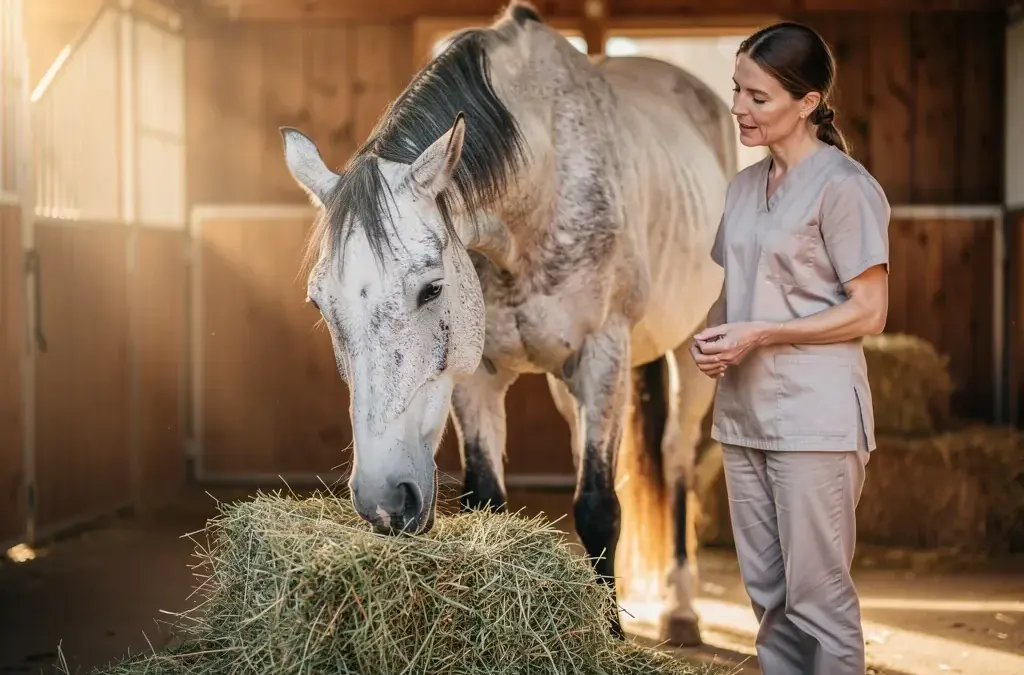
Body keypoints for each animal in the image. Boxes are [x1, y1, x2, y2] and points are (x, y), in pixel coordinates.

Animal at [280, 1, 735, 645]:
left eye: (432, 288)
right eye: (321, 304)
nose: (383, 500)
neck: (542, 184)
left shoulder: (602, 354)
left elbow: (599, 507)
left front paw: (610, 638)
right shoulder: (476, 374)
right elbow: (487, 498)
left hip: (693, 351)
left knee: (676, 461)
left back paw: (682, 610)